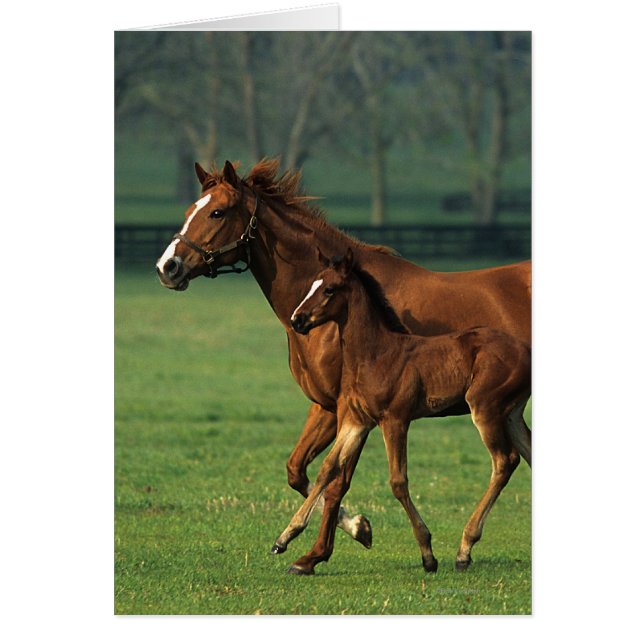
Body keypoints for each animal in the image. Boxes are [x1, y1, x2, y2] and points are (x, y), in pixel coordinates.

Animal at [271, 247, 531, 575]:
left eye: (329, 289)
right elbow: (327, 470)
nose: (298, 320)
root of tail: (527, 352)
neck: (376, 353)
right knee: (527, 455)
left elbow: (397, 481)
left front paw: (428, 554)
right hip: (511, 414)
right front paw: (285, 539)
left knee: (504, 461)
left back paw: (464, 550)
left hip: (485, 408)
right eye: (311, 285)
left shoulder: (394, 420)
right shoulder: (355, 421)